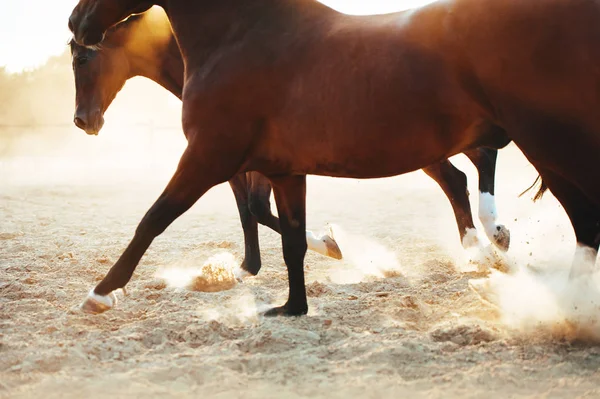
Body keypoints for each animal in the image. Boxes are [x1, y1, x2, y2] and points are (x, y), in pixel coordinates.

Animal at [68, 0, 600, 318]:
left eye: (82, 58)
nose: (76, 21)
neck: (242, 38)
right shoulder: (280, 169)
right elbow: (286, 234)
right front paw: (292, 300)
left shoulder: (210, 159)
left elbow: (156, 218)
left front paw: (101, 292)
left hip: (549, 142)